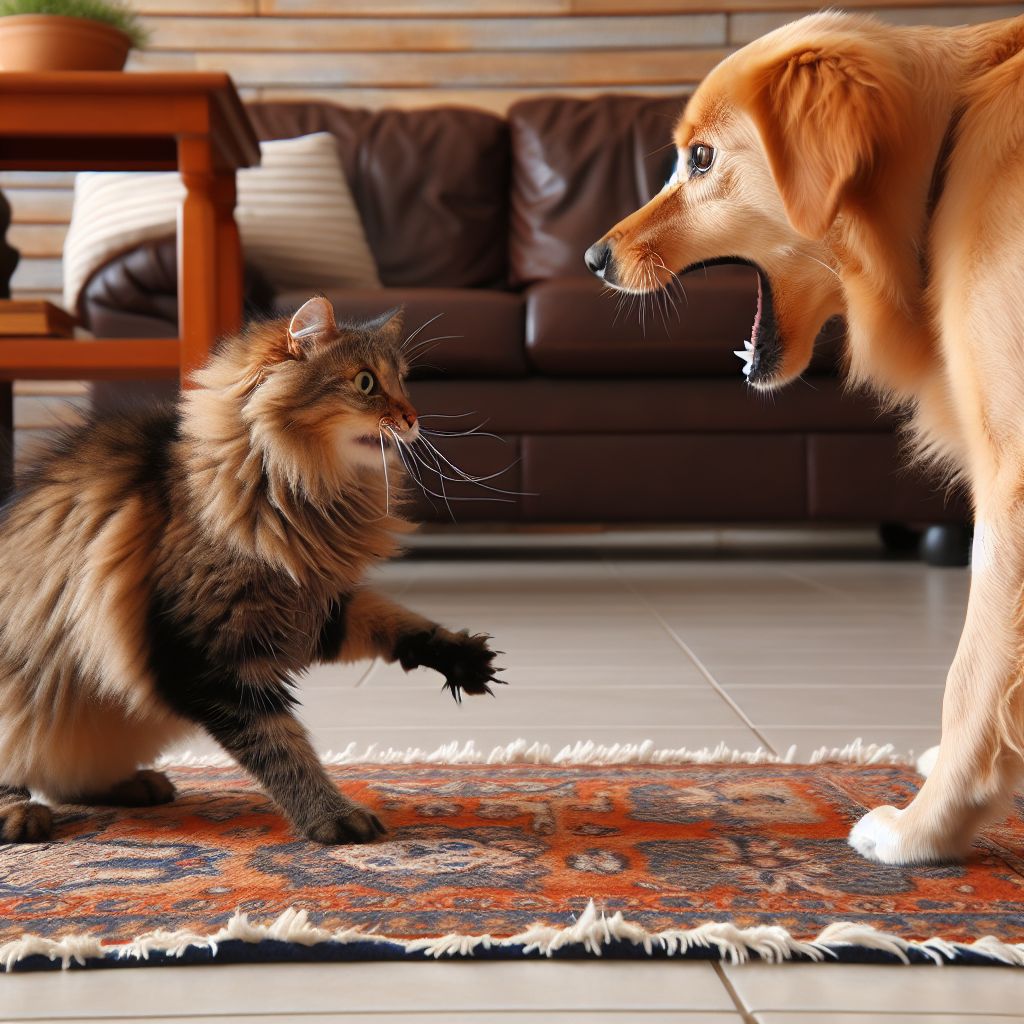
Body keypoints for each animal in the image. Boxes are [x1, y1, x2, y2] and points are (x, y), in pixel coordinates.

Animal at [0, 296, 503, 847]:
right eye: (367, 382)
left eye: (403, 383)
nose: (413, 418)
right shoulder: (208, 656)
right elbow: (281, 745)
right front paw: (332, 816)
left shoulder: (308, 609)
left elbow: (394, 619)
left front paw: (462, 657)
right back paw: (21, 814)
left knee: (70, 779)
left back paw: (137, 784)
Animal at [585, 14, 1024, 864]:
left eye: (700, 158)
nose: (591, 259)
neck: (946, 160)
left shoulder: (1013, 476)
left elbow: (973, 671)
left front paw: (928, 827)